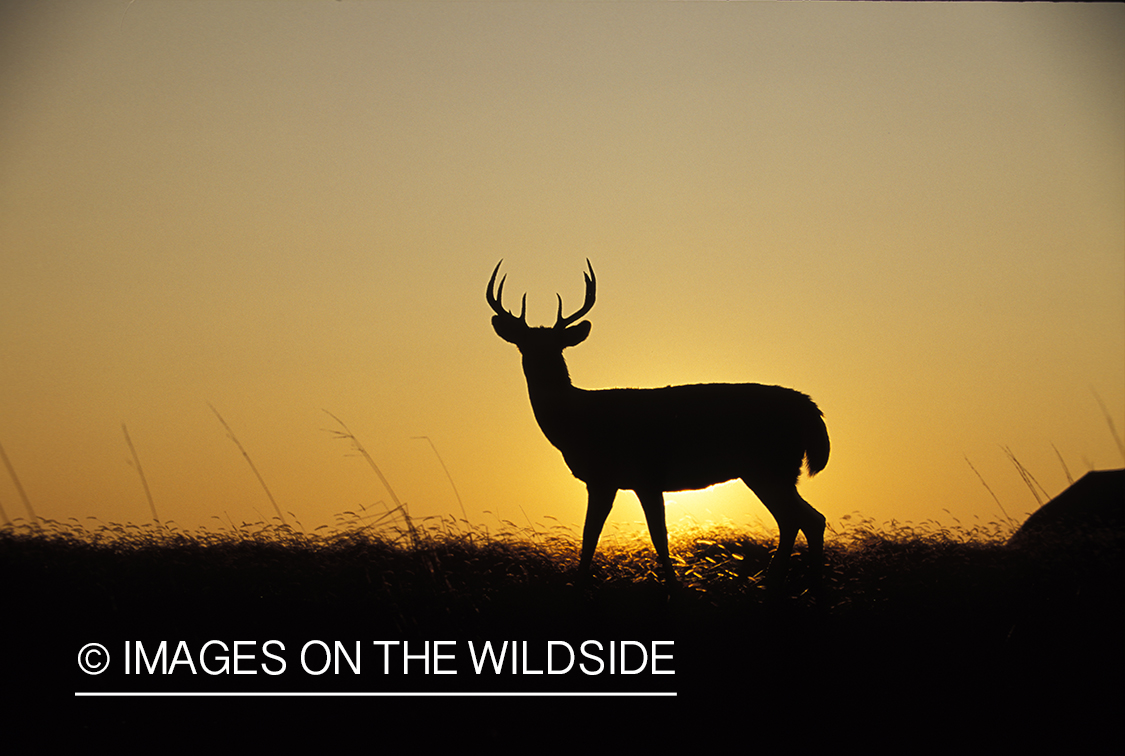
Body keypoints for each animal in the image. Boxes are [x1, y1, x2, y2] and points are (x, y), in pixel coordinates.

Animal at [486, 260, 829, 591]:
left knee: (803, 519)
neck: (578, 421)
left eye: (557, 345)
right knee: (804, 519)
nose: (539, 365)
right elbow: (596, 536)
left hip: (771, 466)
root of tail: (809, 408)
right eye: (523, 344)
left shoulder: (632, 476)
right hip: (771, 469)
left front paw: (671, 588)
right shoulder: (613, 481)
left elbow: (644, 537)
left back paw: (789, 585)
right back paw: (794, 585)